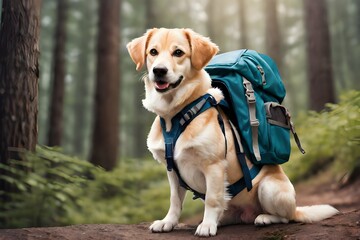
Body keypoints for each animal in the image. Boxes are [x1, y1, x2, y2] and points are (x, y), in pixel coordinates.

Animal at [127, 27, 340, 236]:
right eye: (153, 52)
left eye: (178, 52)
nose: (159, 71)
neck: (176, 115)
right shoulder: (172, 172)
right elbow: (175, 201)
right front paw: (168, 222)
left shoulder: (214, 166)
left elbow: (212, 198)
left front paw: (207, 226)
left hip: (269, 188)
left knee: (285, 217)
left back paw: (263, 218)